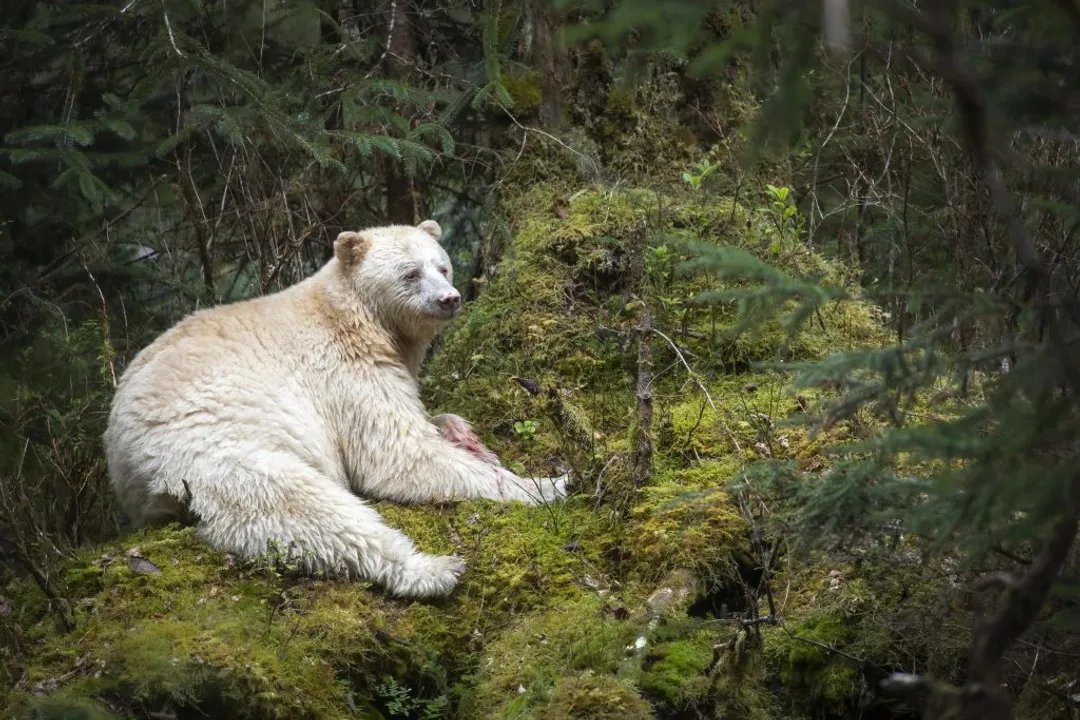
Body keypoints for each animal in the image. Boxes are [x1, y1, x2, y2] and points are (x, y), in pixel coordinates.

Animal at [103, 219, 567, 598]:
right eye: (411, 272)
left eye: (443, 267)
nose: (450, 299)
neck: (356, 314)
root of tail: (122, 463)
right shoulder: (342, 371)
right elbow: (394, 451)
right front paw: (544, 485)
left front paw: (464, 434)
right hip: (214, 450)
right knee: (306, 507)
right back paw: (431, 569)